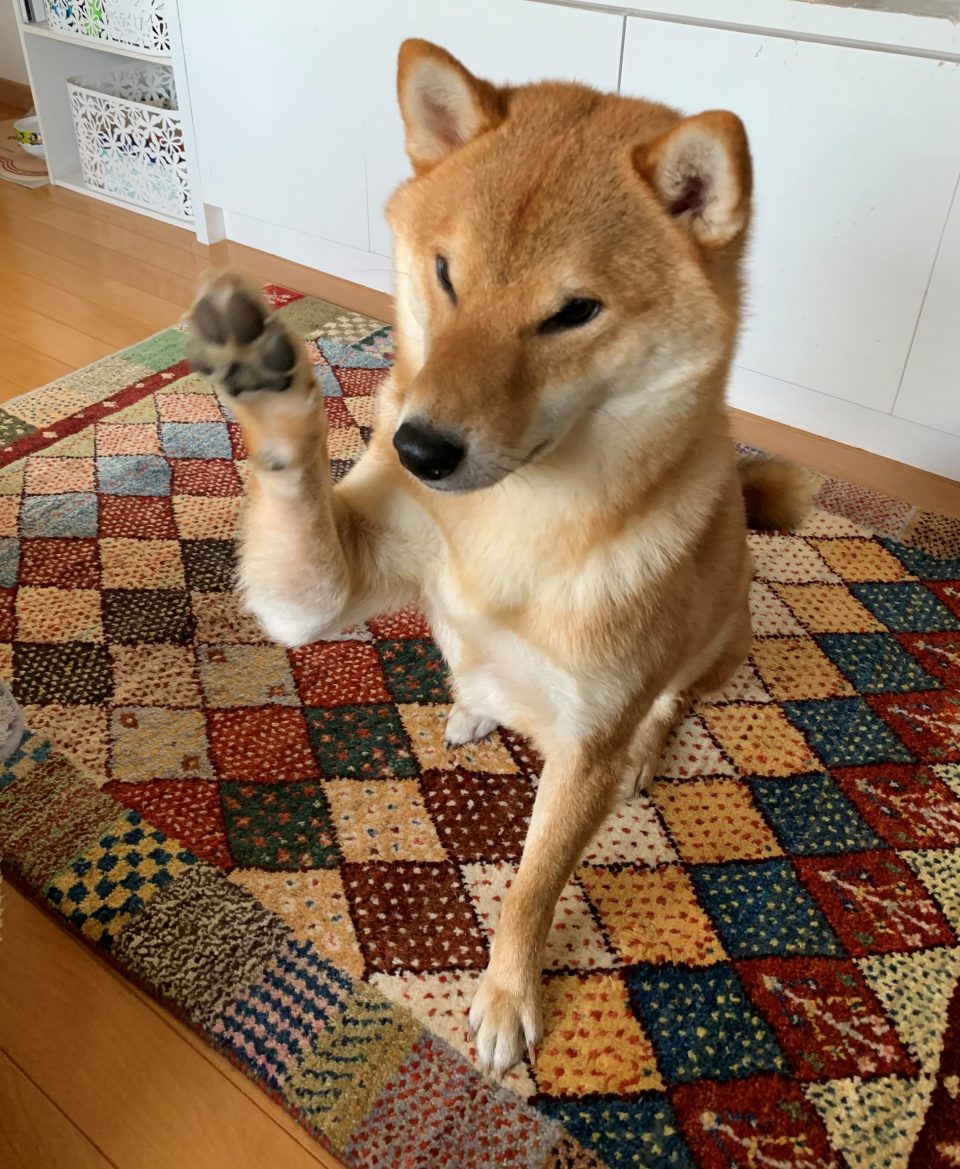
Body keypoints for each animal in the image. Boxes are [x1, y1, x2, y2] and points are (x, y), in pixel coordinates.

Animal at [183, 36, 804, 1075]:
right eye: (445, 273)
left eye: (573, 312)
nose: (422, 449)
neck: (513, 524)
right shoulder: (330, 582)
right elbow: (297, 513)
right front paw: (265, 381)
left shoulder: (585, 741)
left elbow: (530, 885)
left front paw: (510, 997)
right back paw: (475, 703)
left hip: (721, 638)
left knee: (675, 699)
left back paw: (646, 745)